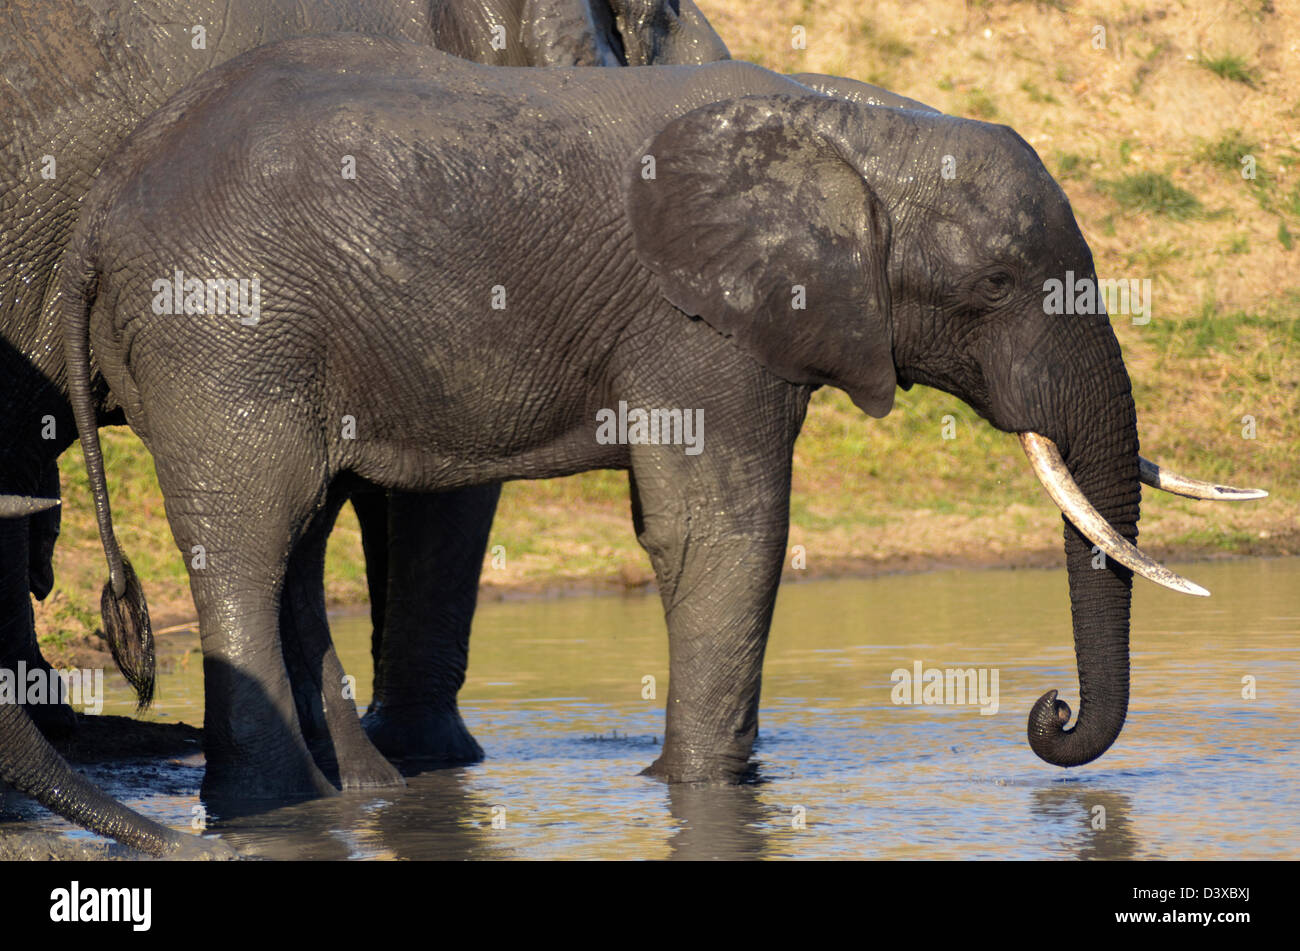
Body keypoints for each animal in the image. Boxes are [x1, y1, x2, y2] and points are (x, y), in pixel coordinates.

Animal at [55, 35, 1263, 795]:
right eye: (1001, 284)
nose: (1046, 714)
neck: (847, 127)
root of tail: (100, 207)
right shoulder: (698, 326)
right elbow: (726, 536)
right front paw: (696, 788)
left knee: (294, 546)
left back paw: (358, 796)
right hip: (227, 331)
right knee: (248, 545)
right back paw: (276, 807)